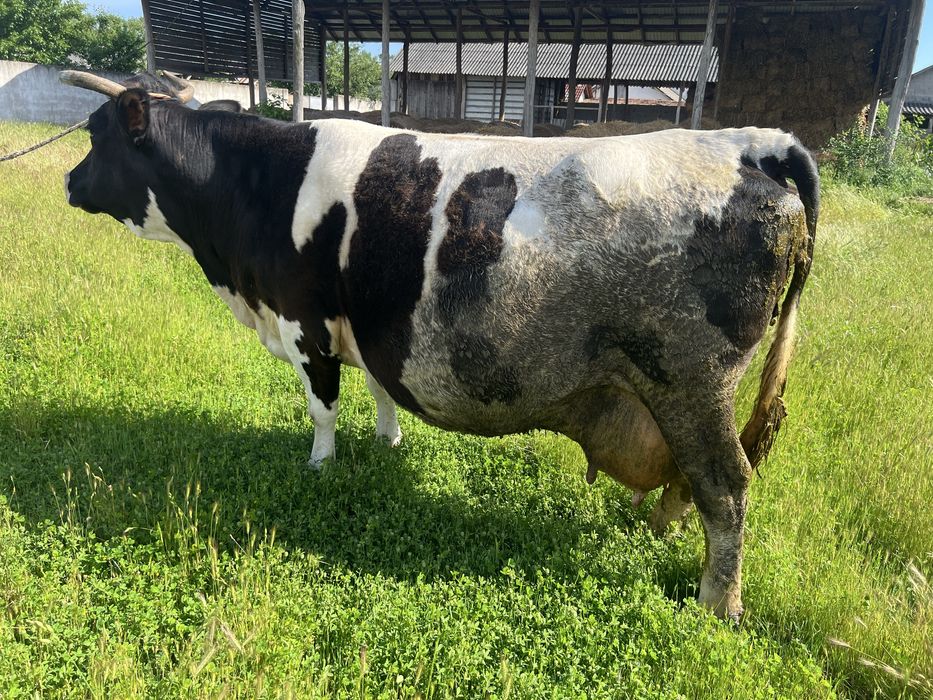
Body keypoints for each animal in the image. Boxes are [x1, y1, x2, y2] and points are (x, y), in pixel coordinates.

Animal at [60, 70, 818, 621]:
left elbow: (322, 407)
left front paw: (321, 466)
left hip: (692, 382)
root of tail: (745, 145)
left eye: (98, 134)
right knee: (692, 479)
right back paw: (659, 530)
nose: (68, 180)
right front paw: (387, 443)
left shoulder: (305, 321)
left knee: (726, 485)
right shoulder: (364, 327)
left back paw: (717, 602)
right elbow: (377, 387)